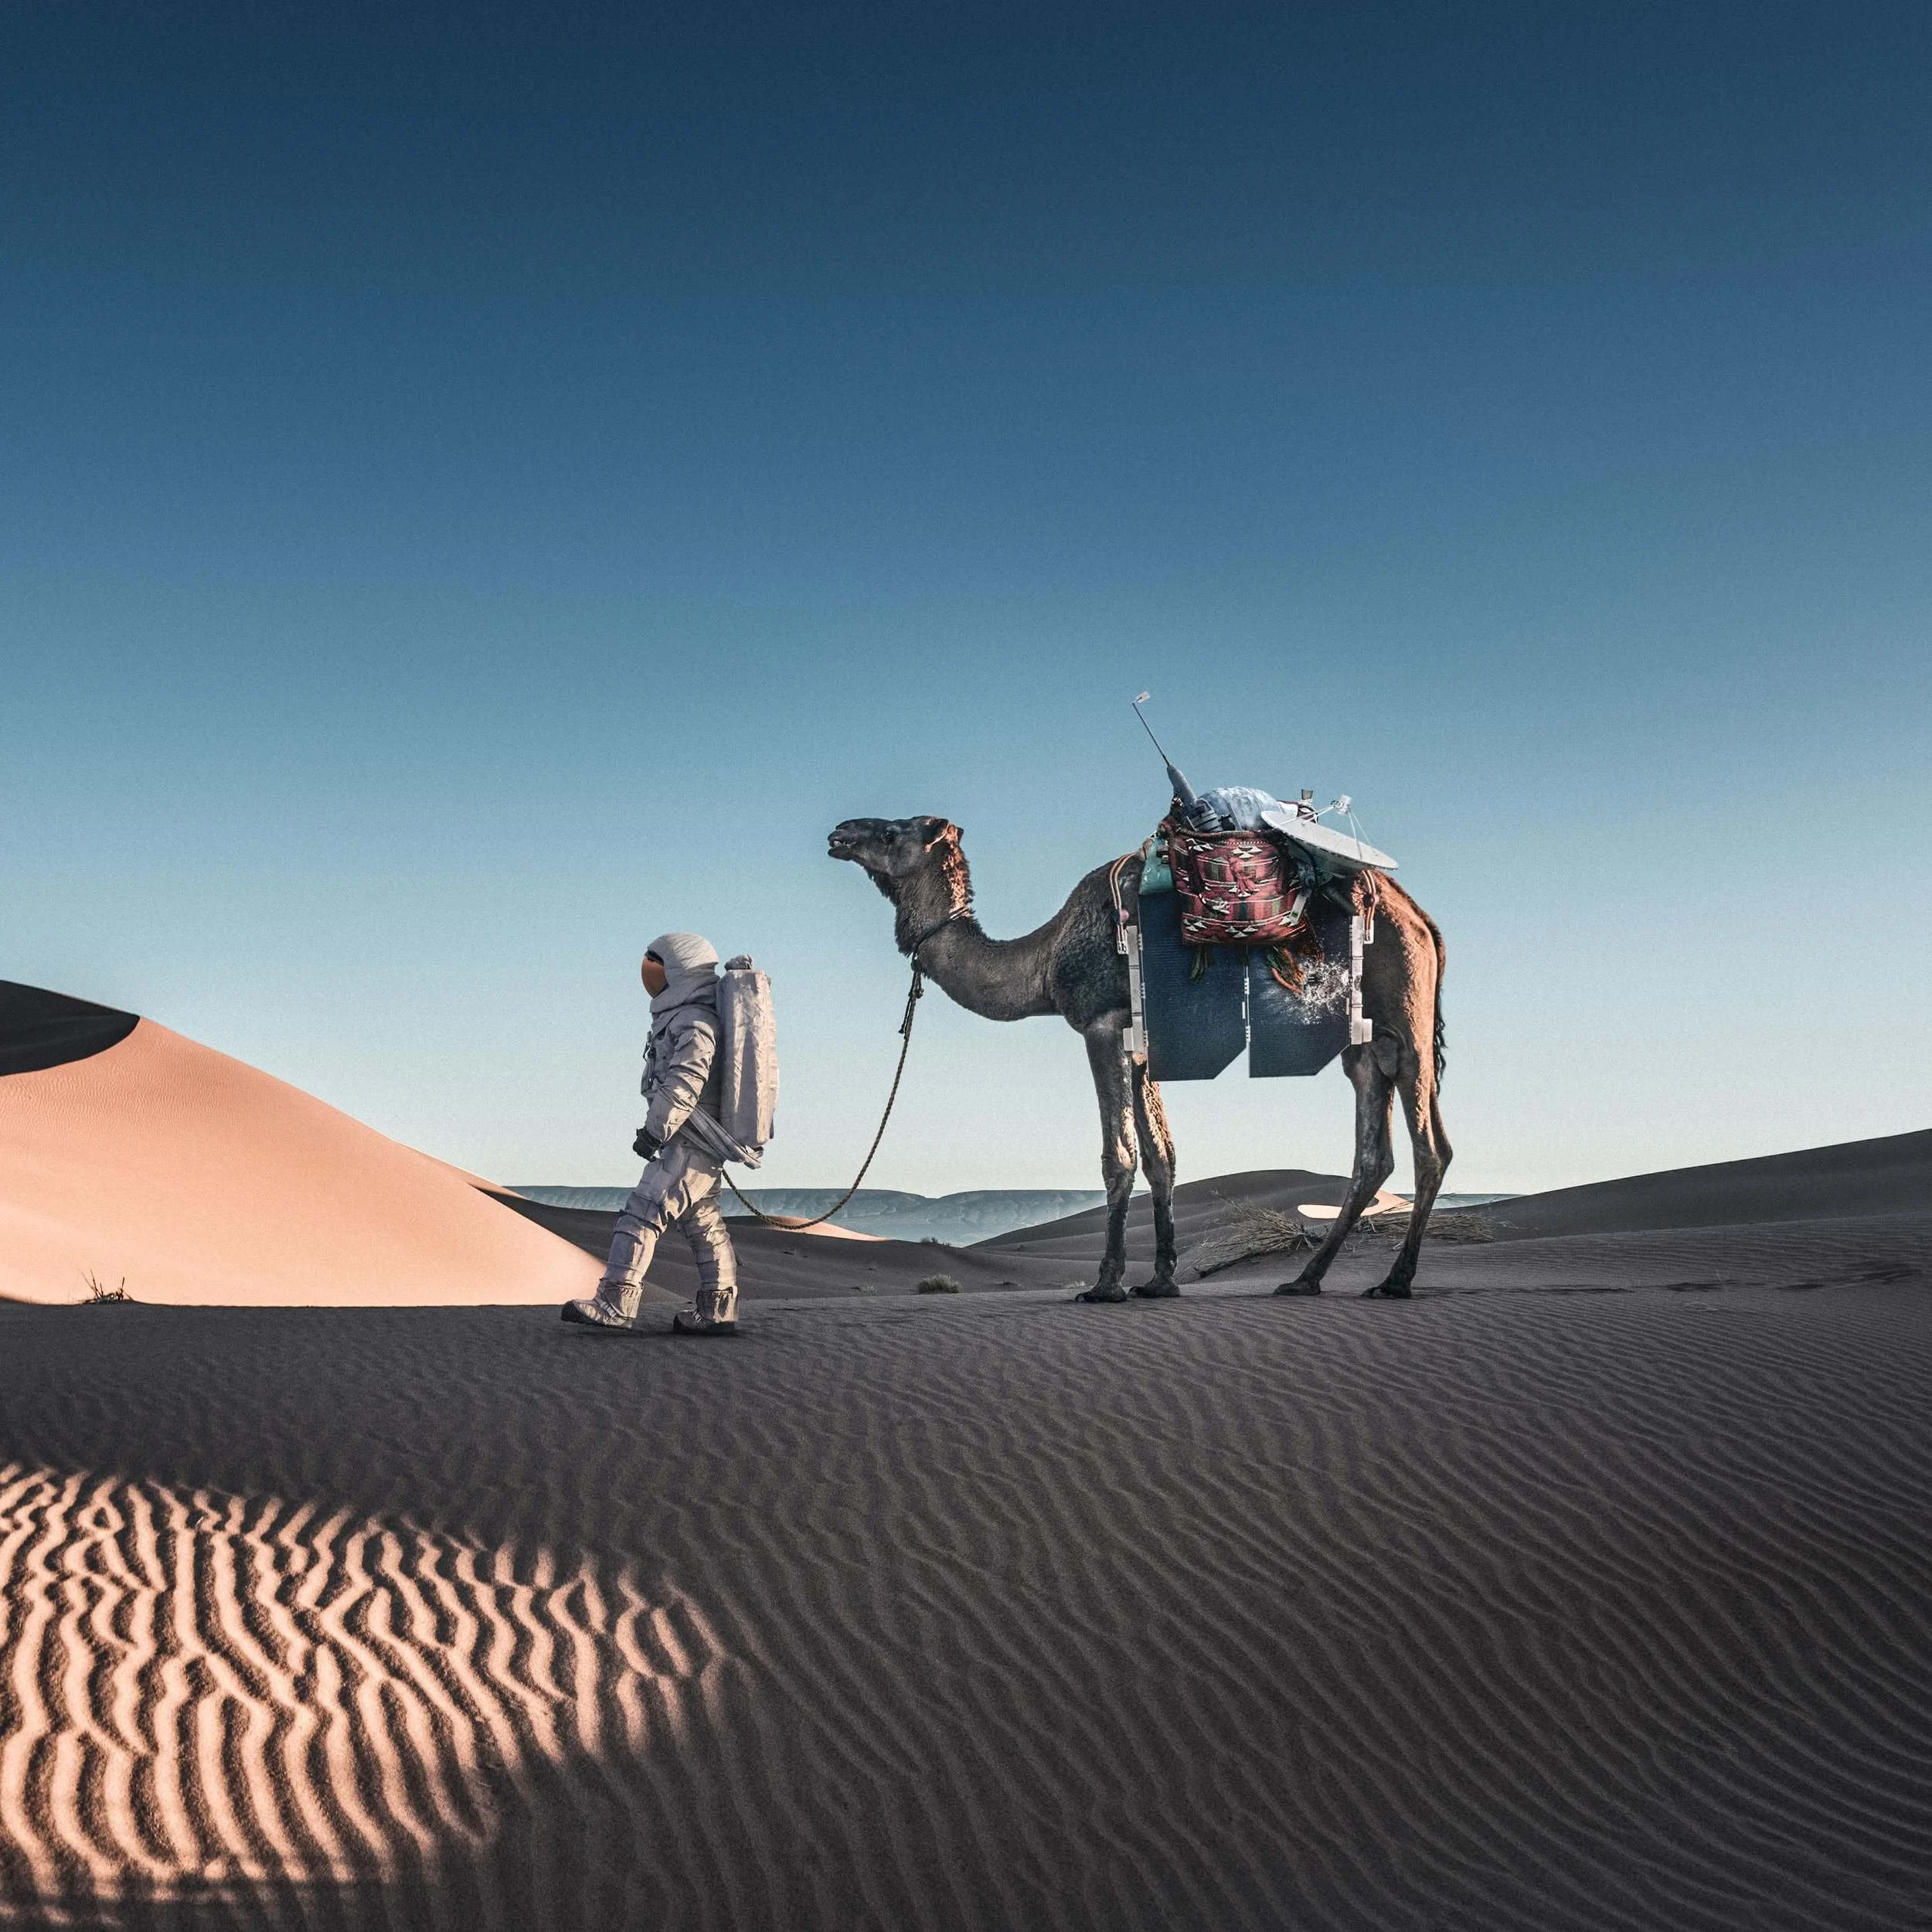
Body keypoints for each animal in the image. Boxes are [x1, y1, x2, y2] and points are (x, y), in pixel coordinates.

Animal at [828, 815, 1451, 1300]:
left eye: (891, 832)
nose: (839, 834)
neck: (1046, 959)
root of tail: (1422, 920)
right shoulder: (1142, 1041)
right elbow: (1162, 1157)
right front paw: (1161, 1280)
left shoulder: (1102, 1023)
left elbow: (1120, 1155)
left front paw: (1106, 1284)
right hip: (1366, 1042)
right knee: (1374, 1151)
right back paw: (1304, 1278)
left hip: (1406, 1010)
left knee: (1432, 1147)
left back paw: (1395, 1281)